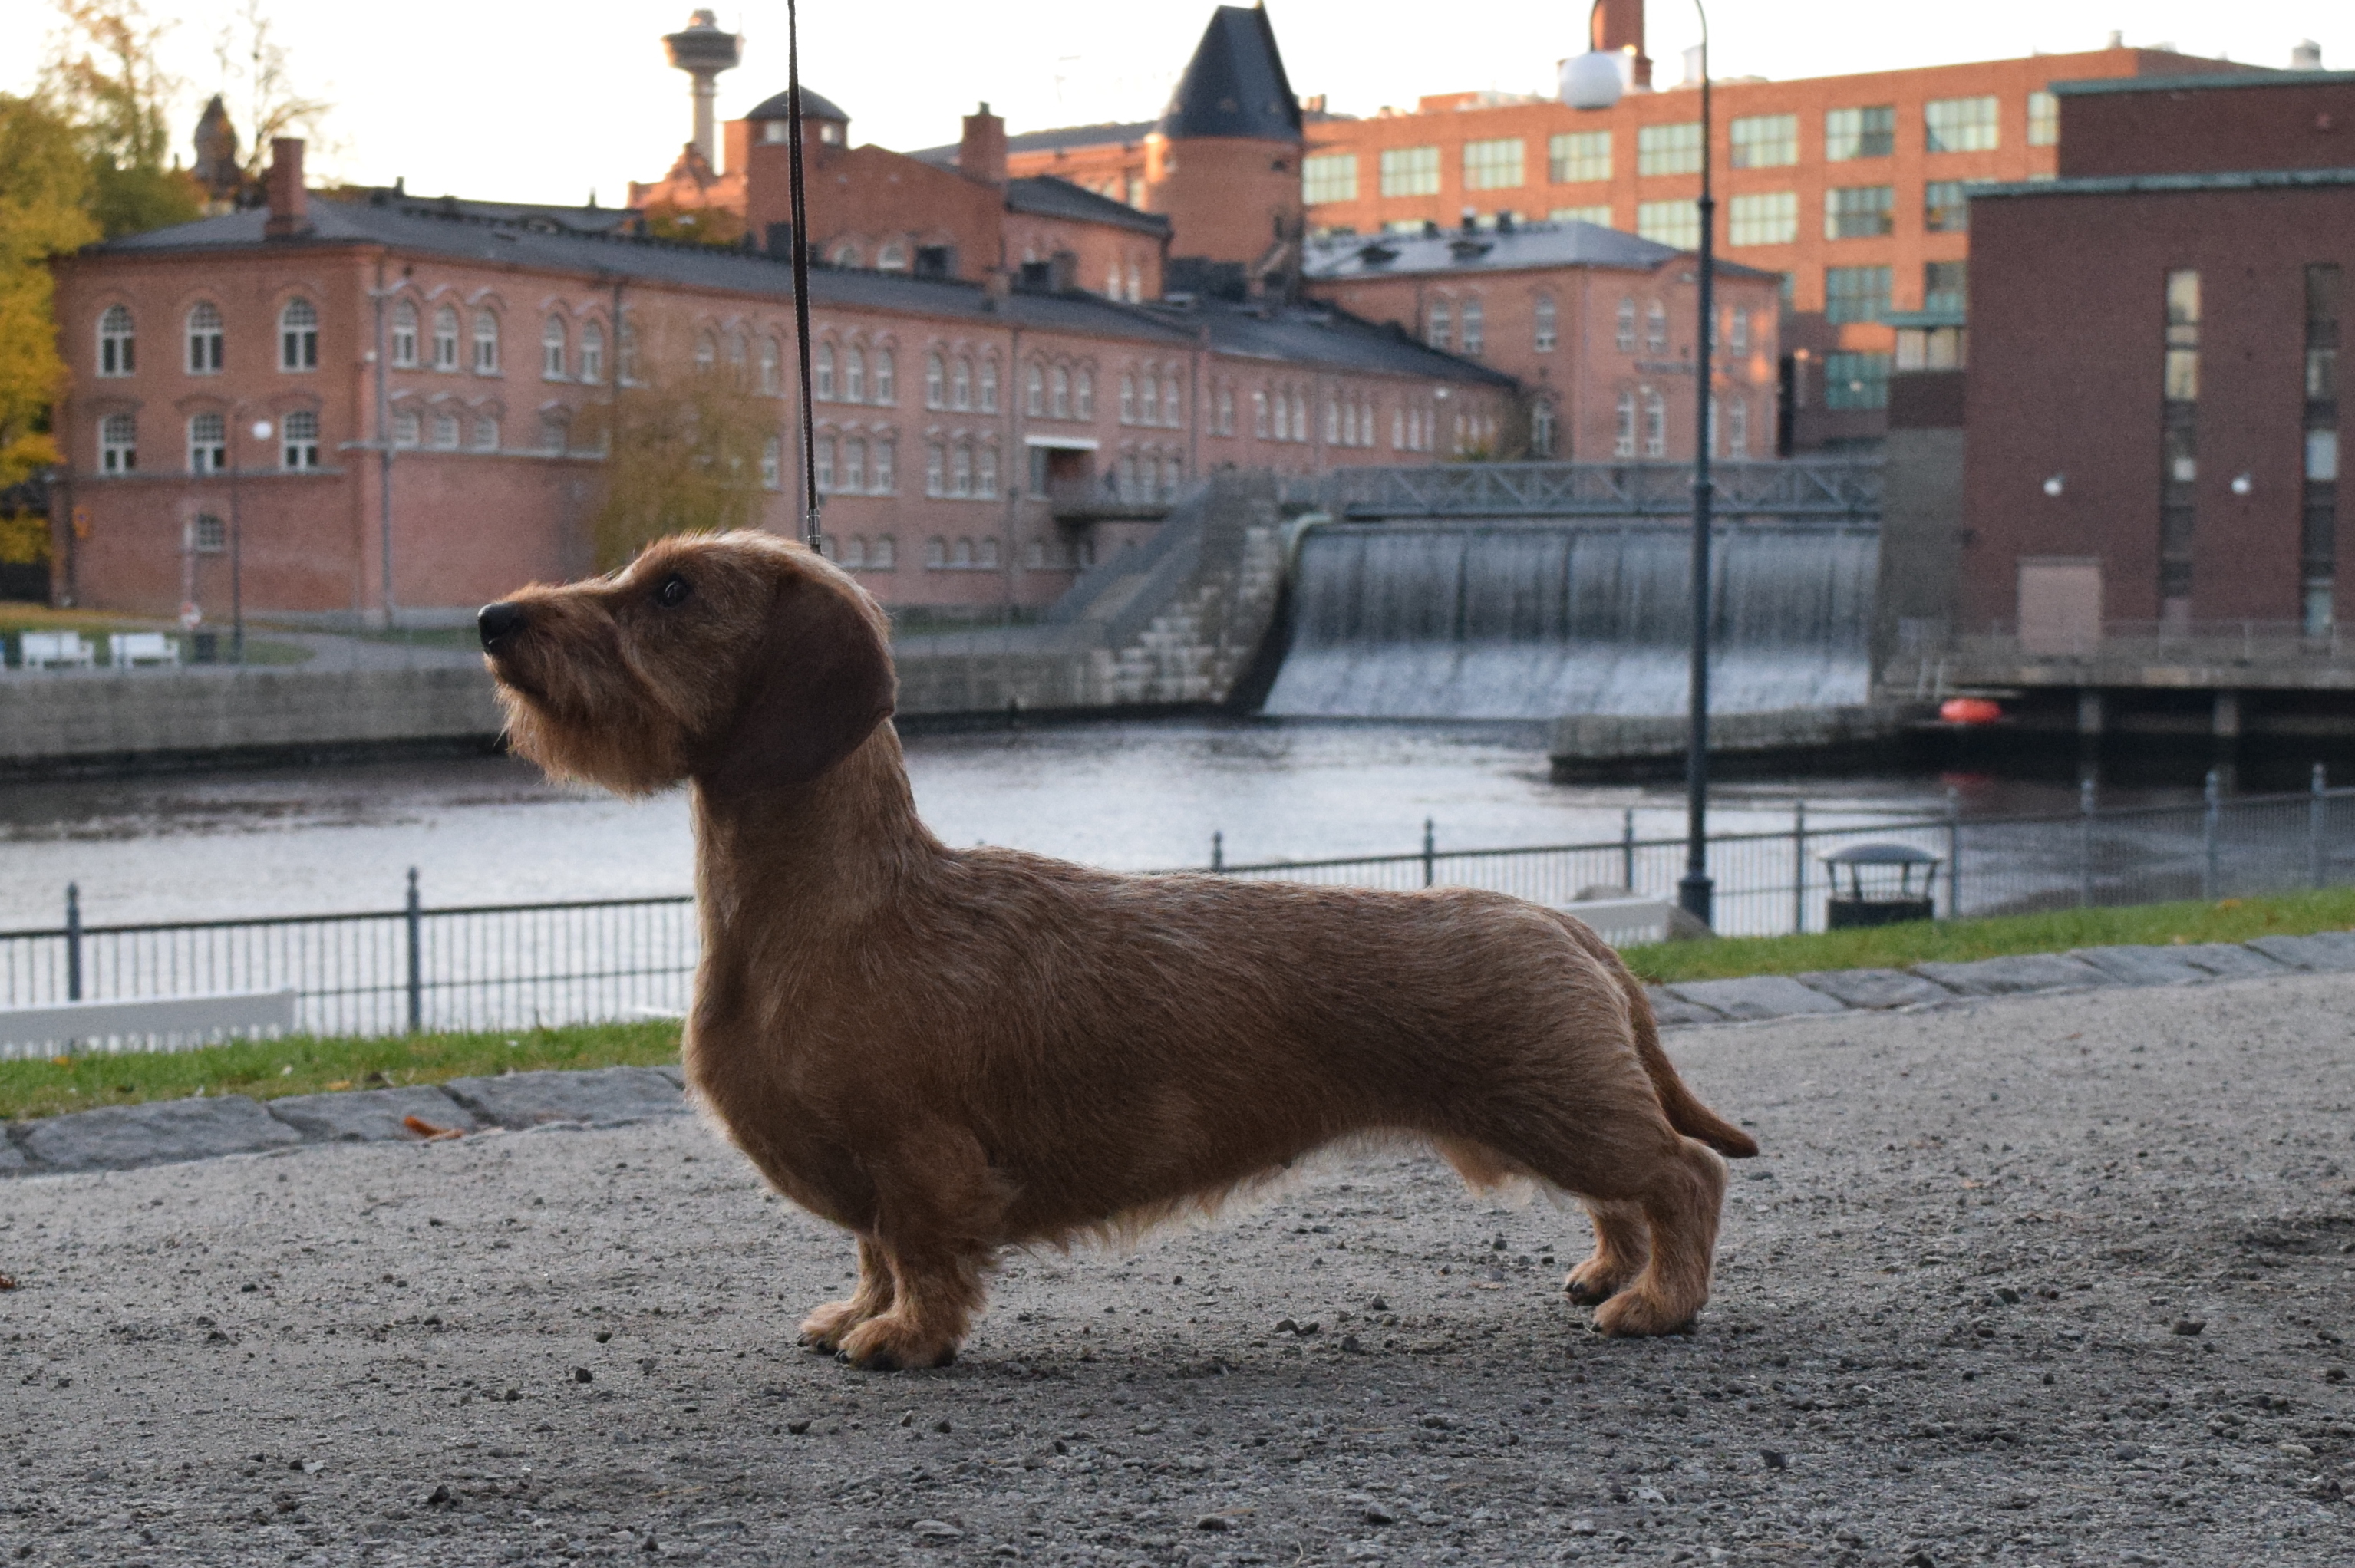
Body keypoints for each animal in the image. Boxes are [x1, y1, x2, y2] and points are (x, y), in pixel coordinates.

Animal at [478, 531, 1757, 1370]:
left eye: (674, 589)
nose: (493, 621)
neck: (833, 904)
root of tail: (1566, 923)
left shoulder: (916, 1152)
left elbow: (919, 1253)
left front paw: (902, 1340)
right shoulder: (870, 1173)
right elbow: (872, 1252)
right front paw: (854, 1315)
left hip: (1559, 1104)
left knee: (1682, 1176)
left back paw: (1657, 1305)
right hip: (1555, 1109)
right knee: (1628, 1196)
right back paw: (1612, 1273)